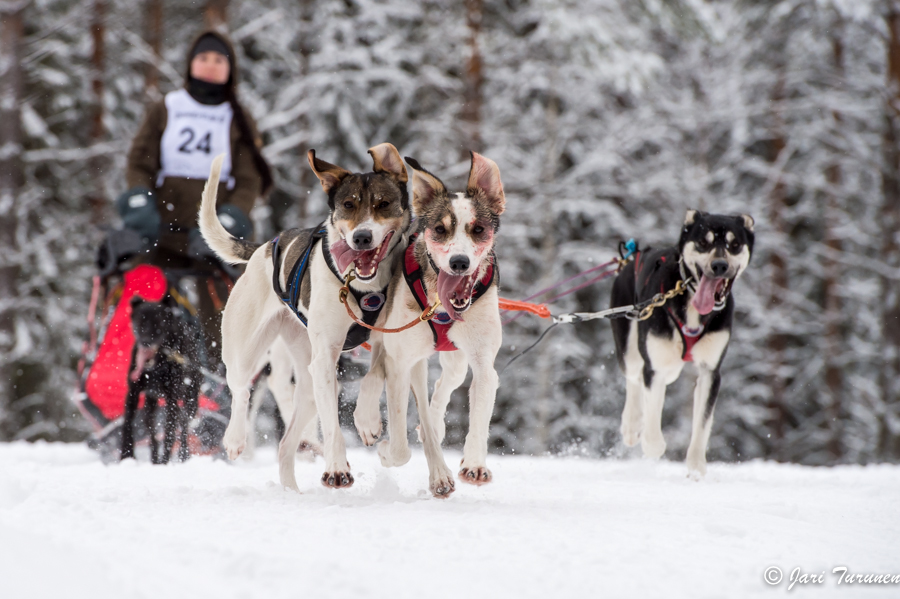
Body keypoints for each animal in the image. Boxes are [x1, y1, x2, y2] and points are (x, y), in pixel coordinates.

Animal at [200, 143, 412, 490]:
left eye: (383, 204)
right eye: (348, 205)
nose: (362, 237)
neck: (364, 287)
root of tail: (266, 246)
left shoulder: (388, 340)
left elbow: (374, 375)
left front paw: (367, 420)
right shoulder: (325, 358)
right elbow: (334, 428)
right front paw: (337, 467)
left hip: (307, 376)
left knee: (286, 443)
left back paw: (292, 489)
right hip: (247, 350)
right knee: (241, 388)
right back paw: (234, 439)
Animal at [354, 154, 506, 496]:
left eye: (479, 229)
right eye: (439, 229)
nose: (460, 262)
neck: (440, 305)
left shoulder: (484, 365)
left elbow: (479, 415)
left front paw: (474, 464)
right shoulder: (401, 363)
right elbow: (399, 446)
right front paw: (386, 451)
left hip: (455, 360)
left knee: (443, 386)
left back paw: (434, 433)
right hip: (394, 341)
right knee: (378, 370)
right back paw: (370, 419)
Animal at [612, 211, 752, 478]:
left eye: (735, 244)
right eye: (704, 242)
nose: (720, 266)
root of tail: (633, 257)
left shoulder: (710, 372)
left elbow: (702, 424)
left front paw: (696, 467)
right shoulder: (654, 368)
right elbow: (654, 428)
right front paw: (651, 443)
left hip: (671, 369)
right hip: (631, 350)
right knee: (634, 378)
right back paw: (632, 425)